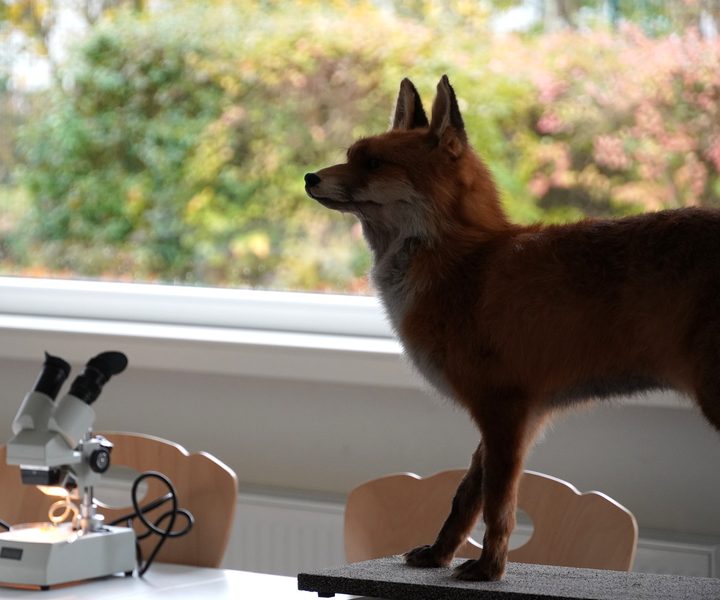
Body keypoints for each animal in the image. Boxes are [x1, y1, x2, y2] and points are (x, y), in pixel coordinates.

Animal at [304, 75, 720, 582]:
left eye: (373, 163)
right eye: (350, 155)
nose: (309, 177)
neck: (463, 263)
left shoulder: (506, 410)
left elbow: (499, 506)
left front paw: (490, 569)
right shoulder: (505, 417)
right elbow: (464, 498)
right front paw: (439, 556)